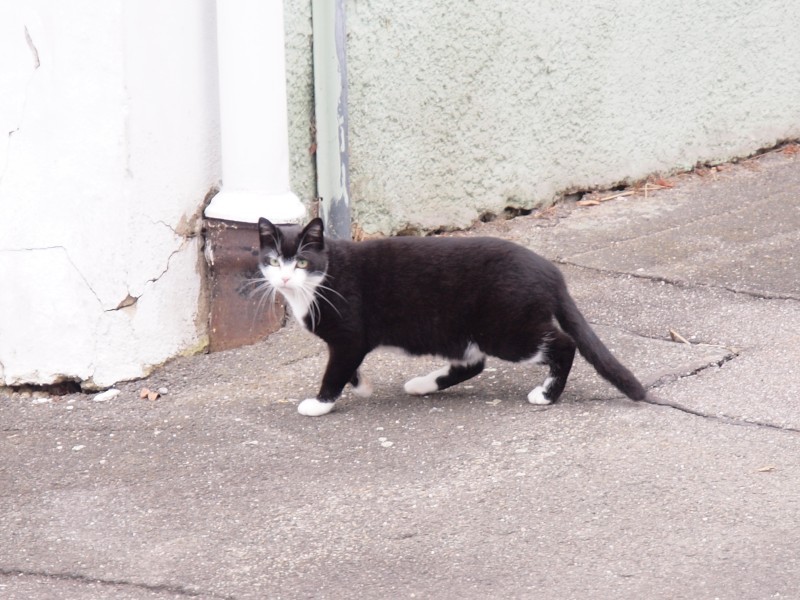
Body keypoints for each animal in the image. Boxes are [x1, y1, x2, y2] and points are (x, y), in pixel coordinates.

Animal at [260, 217, 648, 418]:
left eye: (302, 262)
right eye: (274, 260)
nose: (284, 278)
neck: (320, 280)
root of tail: (551, 271)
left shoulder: (349, 336)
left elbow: (335, 369)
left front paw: (320, 403)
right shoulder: (349, 344)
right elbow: (347, 367)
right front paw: (363, 386)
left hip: (504, 330)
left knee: (563, 344)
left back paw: (547, 395)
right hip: (459, 331)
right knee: (472, 364)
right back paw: (422, 384)